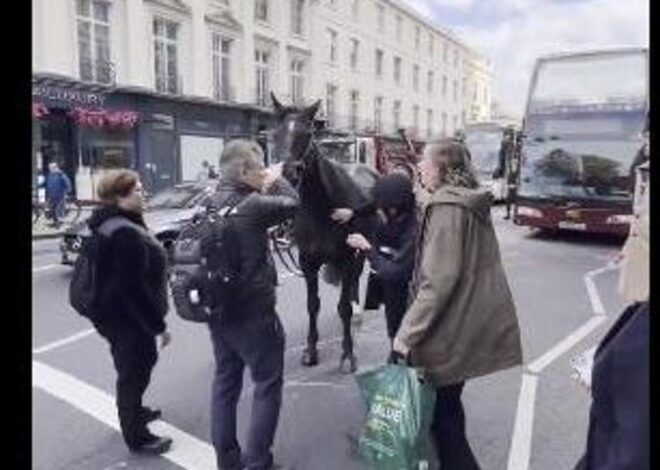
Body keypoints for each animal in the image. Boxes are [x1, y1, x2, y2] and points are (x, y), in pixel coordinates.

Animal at [270, 92, 376, 374]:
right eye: (275, 134)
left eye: (307, 133)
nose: (287, 174)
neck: (323, 208)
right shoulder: (308, 263)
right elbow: (312, 305)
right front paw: (310, 350)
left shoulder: (348, 258)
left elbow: (342, 308)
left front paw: (347, 354)